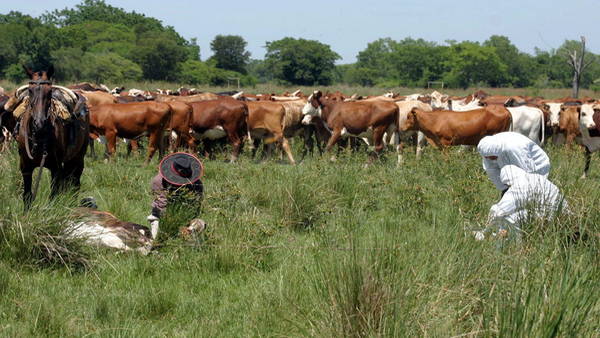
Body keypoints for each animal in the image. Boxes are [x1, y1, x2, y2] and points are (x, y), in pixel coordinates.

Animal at [4, 65, 89, 209]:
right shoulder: (25, 167)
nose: (39, 123)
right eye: (30, 90)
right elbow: (27, 196)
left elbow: (53, 196)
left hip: (78, 158)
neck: (39, 136)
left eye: (49, 92)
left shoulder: (55, 169)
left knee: (75, 185)